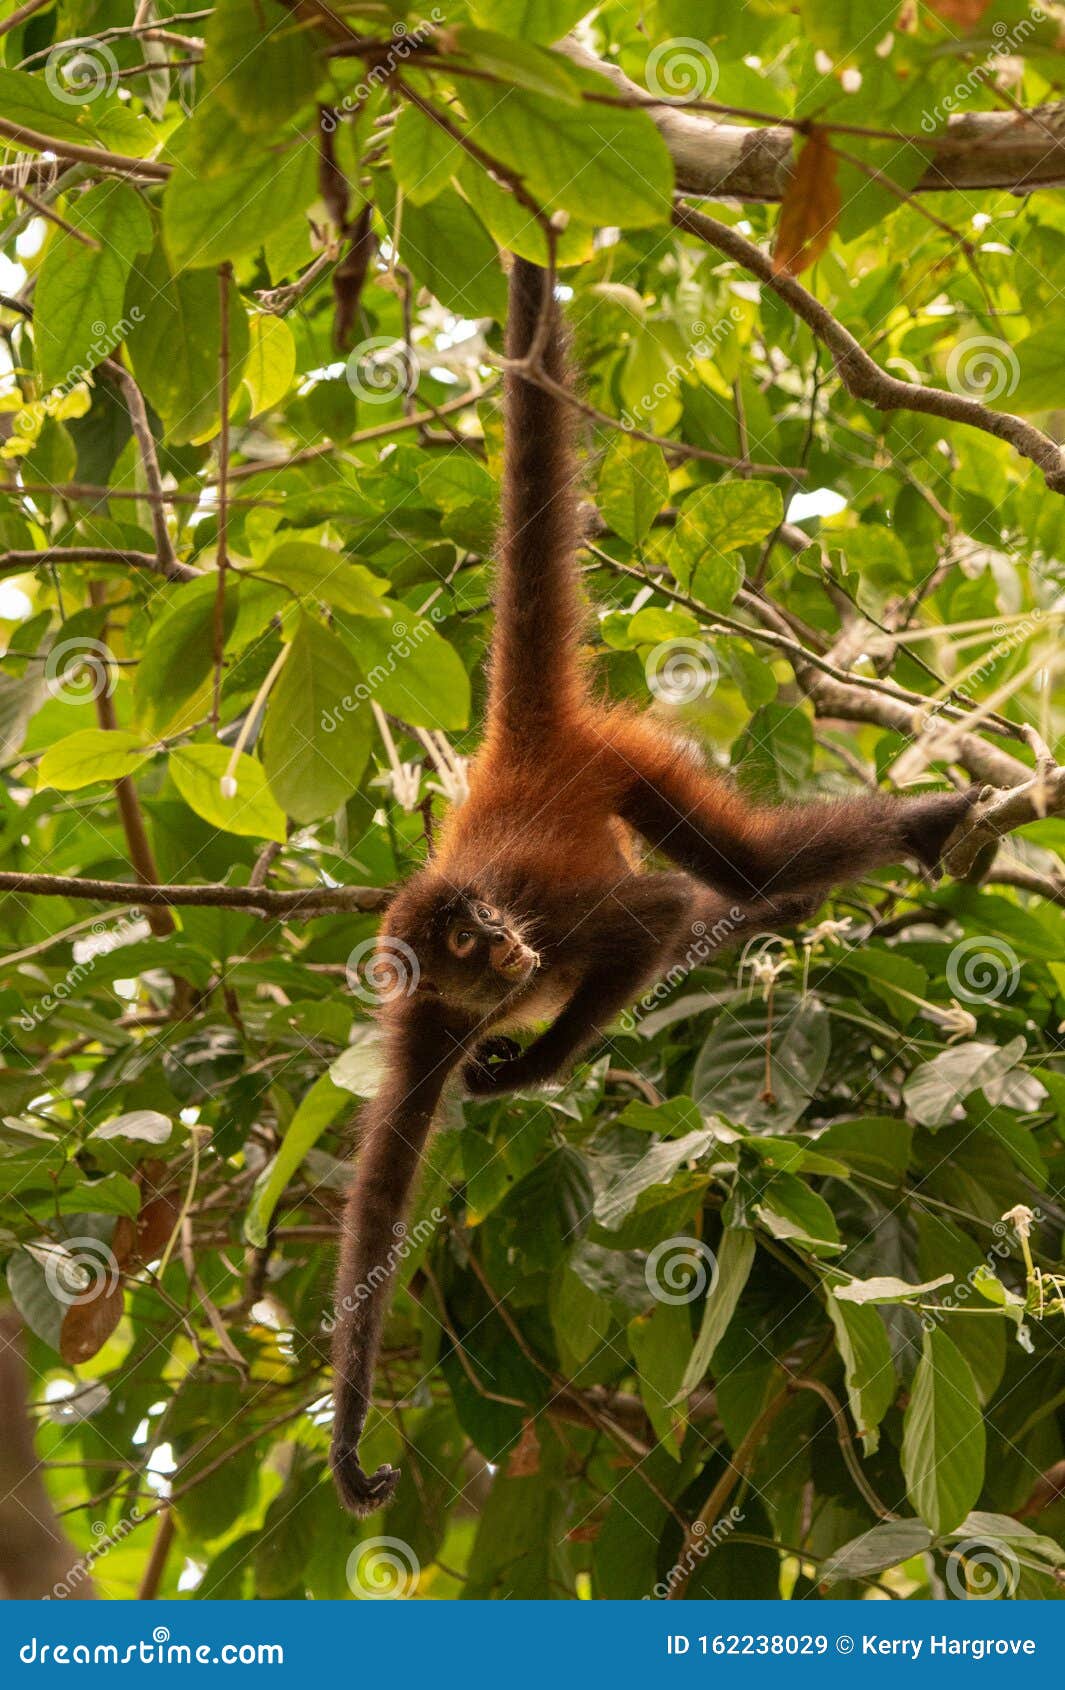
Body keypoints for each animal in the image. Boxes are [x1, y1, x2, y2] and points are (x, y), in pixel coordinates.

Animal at [331, 253, 973, 1521]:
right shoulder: (422, 1023)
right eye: (467, 943)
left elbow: (657, 918)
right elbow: (378, 1210)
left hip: (618, 759)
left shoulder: (546, 928)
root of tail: (516, 750)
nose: (507, 949)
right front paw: (347, 1435)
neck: (486, 990)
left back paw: (911, 828)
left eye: (490, 921)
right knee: (748, 882)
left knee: (738, 868)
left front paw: (529, 1068)